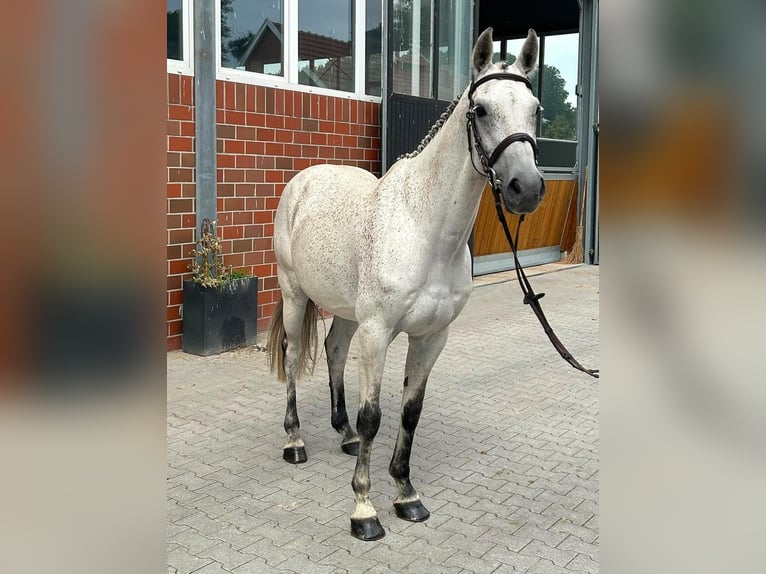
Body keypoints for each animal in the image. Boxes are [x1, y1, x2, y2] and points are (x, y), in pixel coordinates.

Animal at [267, 27, 545, 541]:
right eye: (481, 110)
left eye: (535, 109)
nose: (527, 188)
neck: (425, 229)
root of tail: (303, 182)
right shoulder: (378, 332)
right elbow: (374, 415)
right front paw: (364, 509)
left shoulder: (432, 336)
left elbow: (410, 412)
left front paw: (406, 493)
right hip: (295, 294)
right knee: (294, 357)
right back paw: (295, 441)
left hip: (347, 312)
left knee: (335, 350)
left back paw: (344, 435)